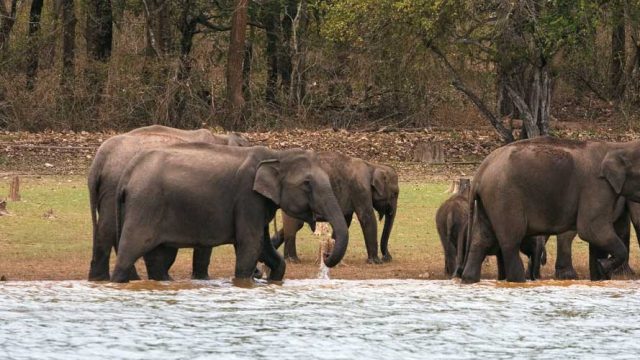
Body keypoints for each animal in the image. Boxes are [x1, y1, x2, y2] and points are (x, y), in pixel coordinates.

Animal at [111, 145, 350, 282]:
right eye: (307, 184)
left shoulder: (260, 204)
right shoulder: (247, 198)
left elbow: (265, 248)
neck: (276, 155)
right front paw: (244, 282)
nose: (326, 255)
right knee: (129, 252)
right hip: (144, 205)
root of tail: (127, 175)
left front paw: (274, 279)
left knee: (159, 259)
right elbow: (251, 245)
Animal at [268, 152, 398, 264]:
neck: (372, 166)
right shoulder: (360, 189)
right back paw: (293, 260)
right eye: (395, 194)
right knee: (295, 224)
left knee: (295, 225)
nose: (388, 258)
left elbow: (345, 220)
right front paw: (376, 262)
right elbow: (366, 216)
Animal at [458, 136, 640, 282]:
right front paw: (603, 266)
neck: (616, 147)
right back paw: (518, 281)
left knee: (482, 240)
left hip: (488, 201)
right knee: (510, 242)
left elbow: (596, 239)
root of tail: (480, 172)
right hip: (504, 196)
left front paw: (600, 273)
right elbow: (591, 230)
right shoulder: (596, 187)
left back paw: (469, 279)